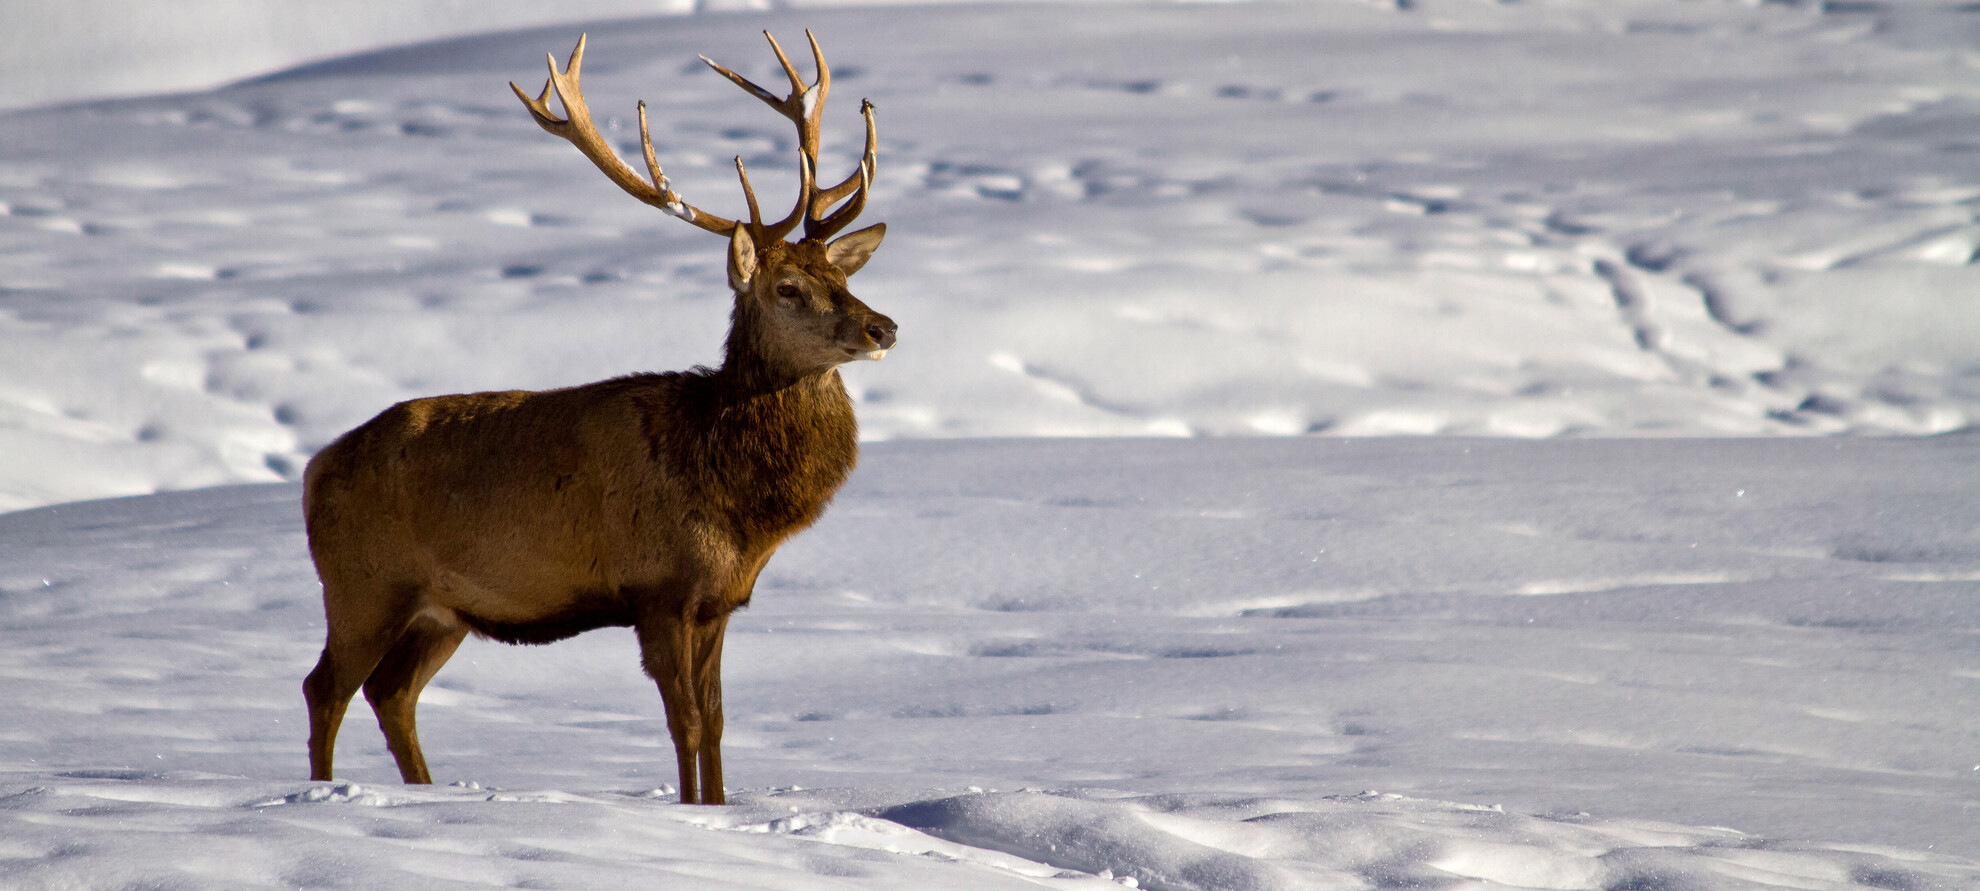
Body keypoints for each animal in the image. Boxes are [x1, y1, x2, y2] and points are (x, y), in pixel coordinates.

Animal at [300, 31, 894, 805]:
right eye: (788, 287)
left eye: (843, 276)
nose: (884, 327)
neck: (732, 497)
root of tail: (313, 471)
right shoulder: (658, 590)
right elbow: (686, 723)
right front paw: (691, 811)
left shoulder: (719, 601)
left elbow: (719, 722)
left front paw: (719, 808)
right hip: (363, 585)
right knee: (326, 688)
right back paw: (319, 796)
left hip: (440, 611)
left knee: (391, 693)